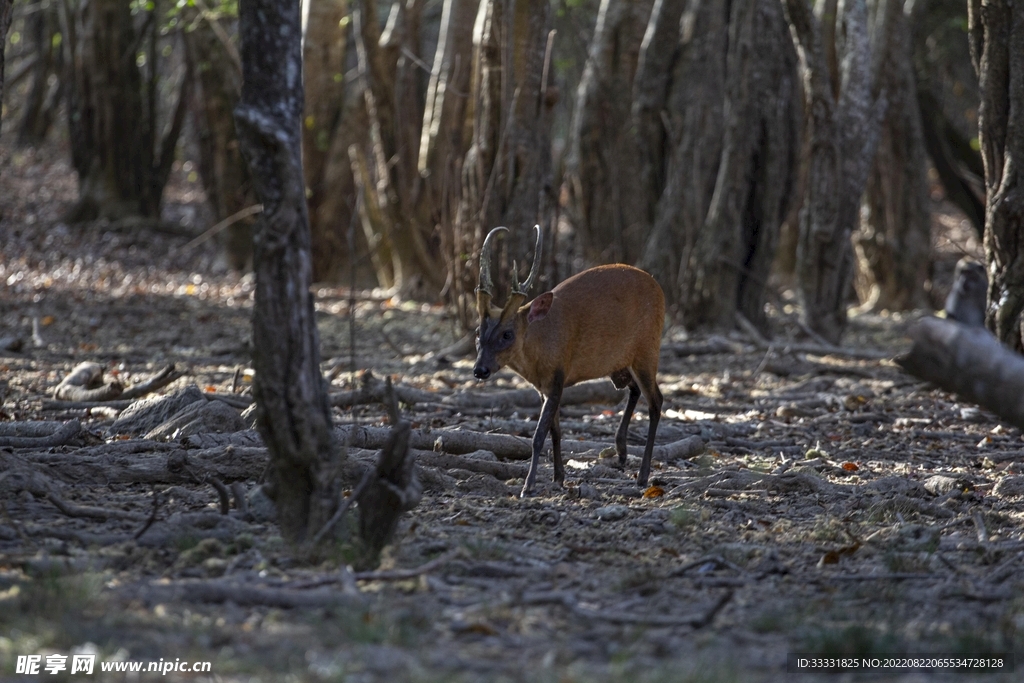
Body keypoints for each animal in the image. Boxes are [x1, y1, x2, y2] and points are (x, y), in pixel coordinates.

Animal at [472, 225, 665, 497]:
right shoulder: (543, 387)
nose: (480, 370)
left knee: (656, 401)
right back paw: (621, 452)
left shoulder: (557, 377)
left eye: (507, 334)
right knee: (634, 390)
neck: (539, 345)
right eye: (478, 332)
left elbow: (539, 435)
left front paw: (528, 485)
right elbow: (556, 431)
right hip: (621, 364)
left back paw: (643, 476)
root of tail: (658, 288)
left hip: (647, 350)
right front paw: (558, 477)